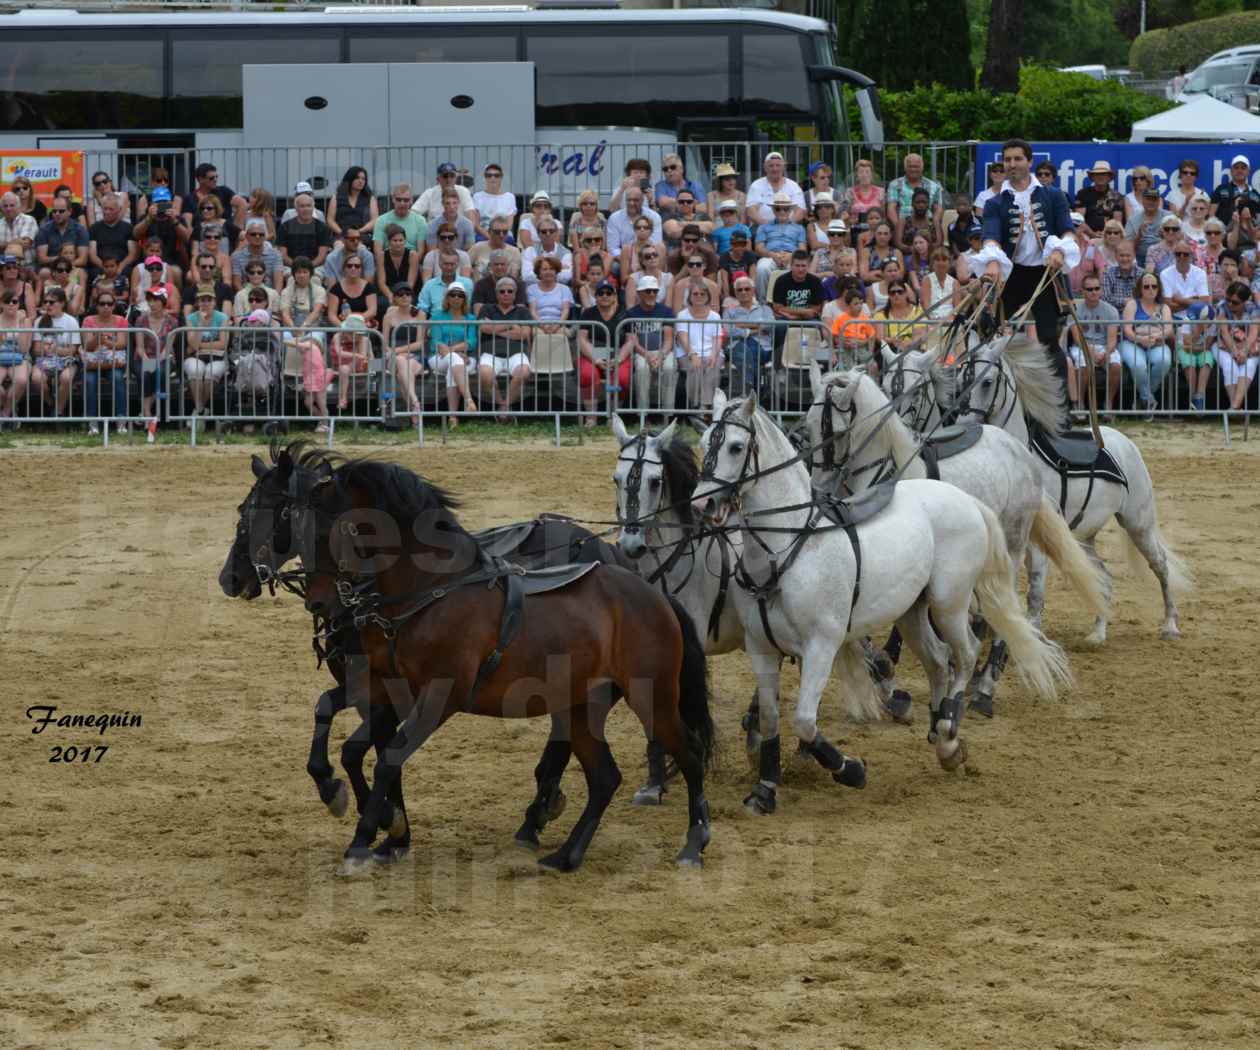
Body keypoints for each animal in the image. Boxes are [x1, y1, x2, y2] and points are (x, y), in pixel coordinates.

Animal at [231, 443, 715, 867]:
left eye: (286, 519)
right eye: (244, 516)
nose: (232, 578)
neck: (428, 592)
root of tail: (654, 594)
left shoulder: (436, 697)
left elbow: (386, 757)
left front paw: (369, 836)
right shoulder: (382, 689)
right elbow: (340, 728)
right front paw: (376, 820)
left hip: (651, 697)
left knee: (688, 754)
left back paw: (692, 844)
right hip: (582, 704)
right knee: (604, 776)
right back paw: (565, 854)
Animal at [690, 388, 1073, 816]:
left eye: (736, 447)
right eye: (704, 443)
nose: (701, 506)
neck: (787, 545)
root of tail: (966, 500)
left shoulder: (821, 646)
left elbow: (804, 720)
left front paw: (851, 770)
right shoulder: (761, 649)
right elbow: (772, 720)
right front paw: (765, 788)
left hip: (949, 603)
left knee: (966, 653)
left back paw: (950, 733)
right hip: (910, 612)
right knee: (938, 660)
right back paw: (937, 731)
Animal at [806, 365, 1103, 715]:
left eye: (837, 433)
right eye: (808, 427)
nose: (819, 488)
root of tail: (1019, 450)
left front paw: (892, 679)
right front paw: (889, 679)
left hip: (1012, 545)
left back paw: (985, 686)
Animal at [947, 335, 1189, 642]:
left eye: (987, 381)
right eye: (959, 380)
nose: (963, 424)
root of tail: (1123, 441)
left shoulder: (1035, 543)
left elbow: (1035, 593)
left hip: (1139, 523)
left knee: (1160, 565)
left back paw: (1170, 625)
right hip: (1085, 535)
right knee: (1103, 577)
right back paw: (1097, 633)